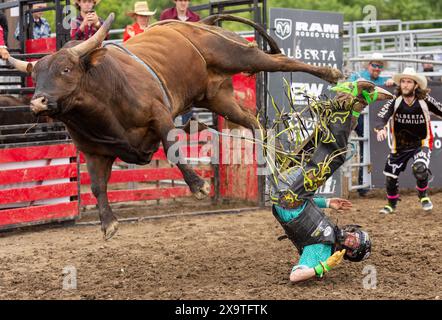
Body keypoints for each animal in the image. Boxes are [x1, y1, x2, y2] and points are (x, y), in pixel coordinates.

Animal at [8, 13, 344, 239]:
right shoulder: (93, 151)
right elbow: (97, 186)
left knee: (281, 62)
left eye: (65, 69)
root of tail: (199, 24)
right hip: (217, 97)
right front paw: (108, 223)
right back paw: (266, 160)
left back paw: (331, 74)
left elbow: (172, 148)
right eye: (35, 76)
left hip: (237, 54)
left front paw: (199, 186)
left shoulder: (160, 116)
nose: (38, 102)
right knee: (252, 120)